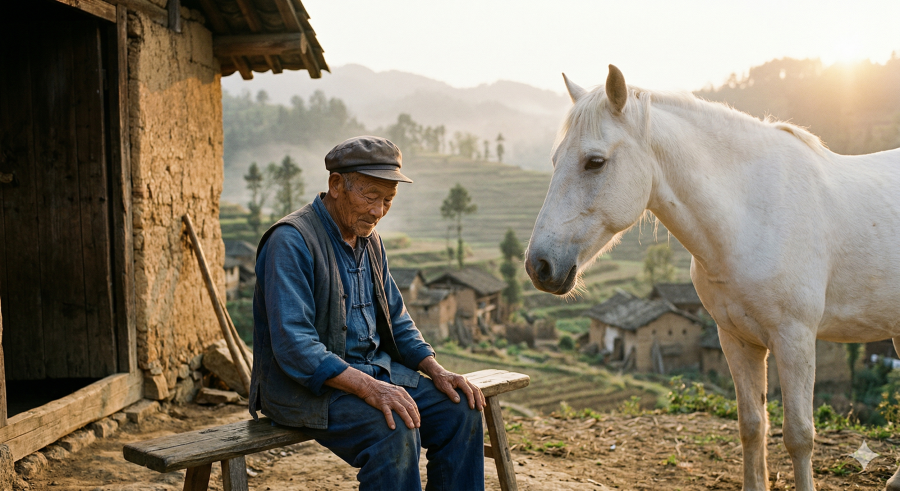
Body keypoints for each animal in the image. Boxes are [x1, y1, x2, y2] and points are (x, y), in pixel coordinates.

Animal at [525, 64, 900, 491]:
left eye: (595, 162)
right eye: (555, 159)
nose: (539, 266)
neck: (753, 214)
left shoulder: (795, 339)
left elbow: (799, 436)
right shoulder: (735, 338)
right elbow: (752, 426)